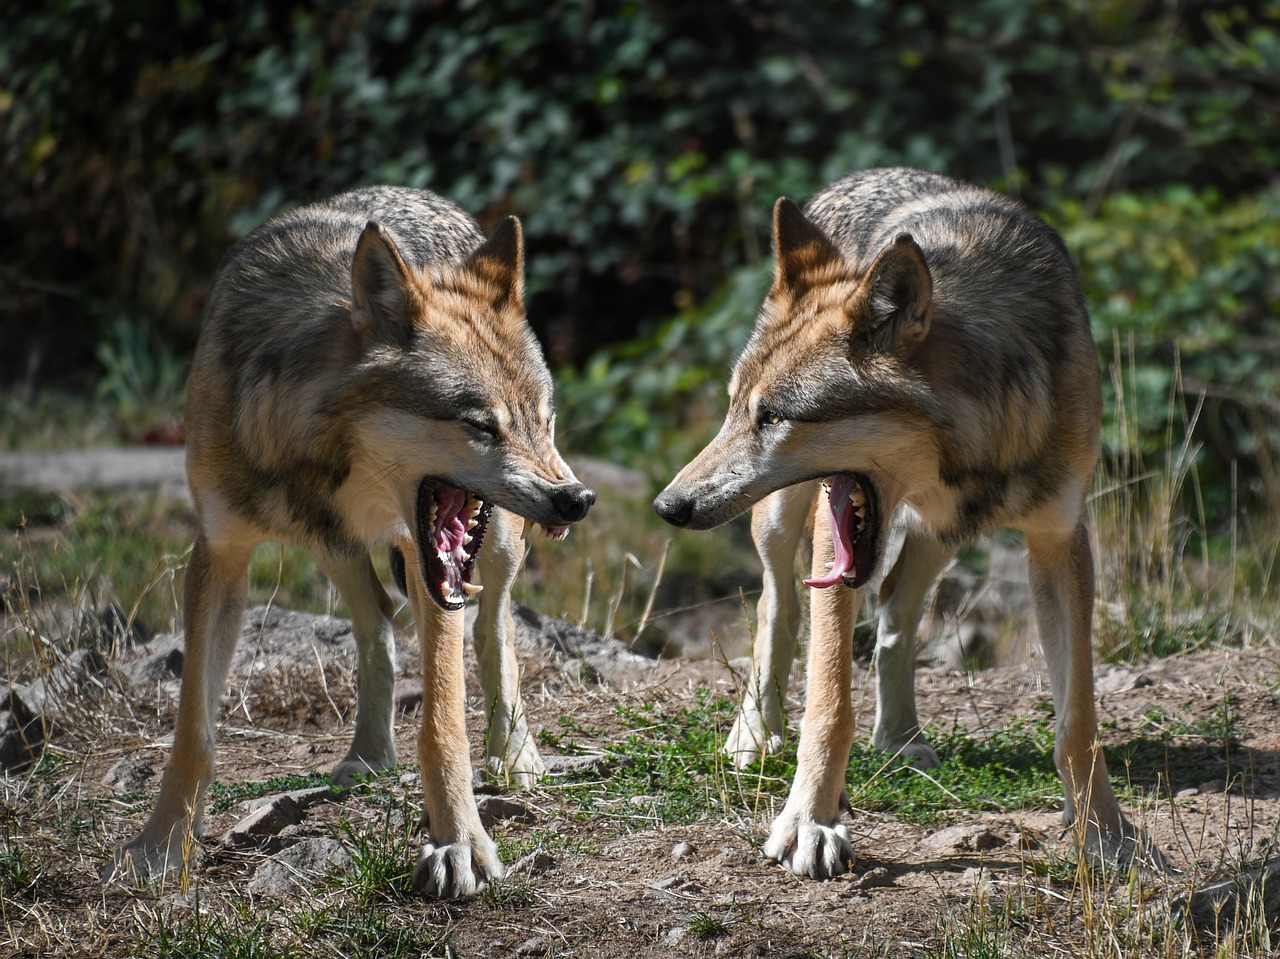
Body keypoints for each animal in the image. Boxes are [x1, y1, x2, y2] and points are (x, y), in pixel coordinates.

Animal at [109, 186, 595, 898]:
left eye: (542, 419)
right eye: (481, 426)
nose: (578, 500)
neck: (320, 459)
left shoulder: (429, 563)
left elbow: (442, 724)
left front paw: (458, 842)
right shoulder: (219, 553)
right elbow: (193, 730)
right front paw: (162, 846)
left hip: (496, 544)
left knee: (494, 627)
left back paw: (514, 752)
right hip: (334, 553)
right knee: (378, 624)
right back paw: (368, 753)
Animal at [655, 168, 1161, 878]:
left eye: (774, 416)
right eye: (736, 410)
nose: (667, 507)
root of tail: (859, 176)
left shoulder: (1060, 540)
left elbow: (1078, 721)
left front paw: (1106, 834)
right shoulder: (836, 530)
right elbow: (829, 703)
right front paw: (811, 822)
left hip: (940, 537)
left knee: (895, 610)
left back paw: (899, 739)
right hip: (784, 521)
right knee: (777, 607)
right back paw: (756, 733)